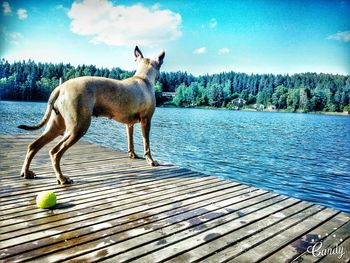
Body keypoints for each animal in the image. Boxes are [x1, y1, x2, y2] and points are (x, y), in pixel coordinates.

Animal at [16, 46, 164, 185]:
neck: (143, 78)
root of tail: (61, 87)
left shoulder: (129, 124)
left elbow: (130, 142)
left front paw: (133, 155)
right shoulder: (146, 120)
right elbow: (147, 144)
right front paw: (151, 161)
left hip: (57, 126)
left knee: (33, 146)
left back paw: (26, 172)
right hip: (78, 127)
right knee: (54, 152)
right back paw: (62, 178)